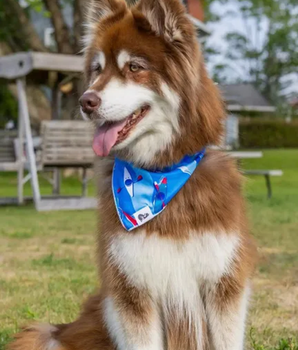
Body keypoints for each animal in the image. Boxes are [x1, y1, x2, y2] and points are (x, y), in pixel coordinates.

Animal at [8, 0, 256, 350]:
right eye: (98, 69)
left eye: (134, 67)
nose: (85, 101)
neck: (159, 176)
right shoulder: (131, 289)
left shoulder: (223, 285)